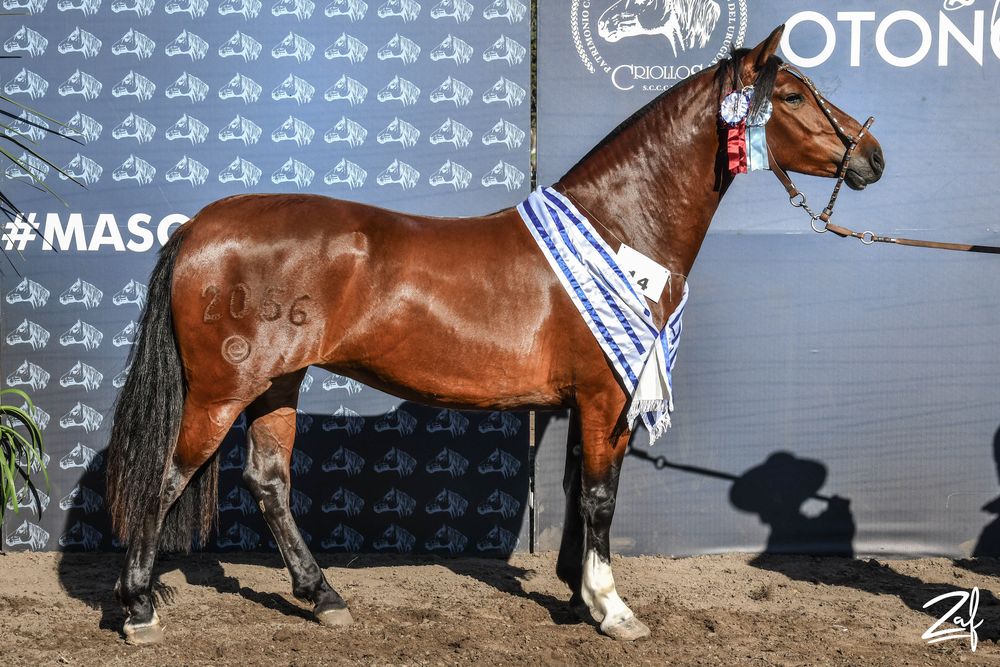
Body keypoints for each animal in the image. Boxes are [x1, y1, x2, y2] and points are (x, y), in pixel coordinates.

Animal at [105, 27, 884, 643]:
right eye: (792, 97)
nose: (872, 155)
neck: (619, 229)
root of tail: (199, 227)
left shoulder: (591, 401)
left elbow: (578, 491)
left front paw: (577, 594)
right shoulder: (606, 398)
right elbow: (601, 496)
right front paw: (613, 609)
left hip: (276, 384)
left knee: (269, 481)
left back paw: (323, 596)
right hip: (222, 390)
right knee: (167, 476)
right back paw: (140, 606)